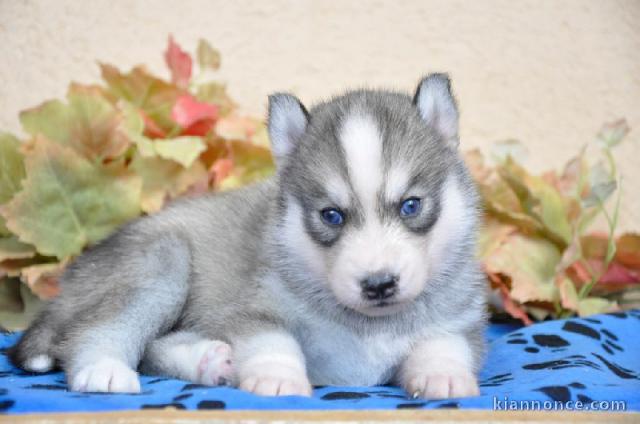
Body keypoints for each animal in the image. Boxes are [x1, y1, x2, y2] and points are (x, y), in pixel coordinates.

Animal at [10, 74, 488, 400]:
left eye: (411, 205)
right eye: (331, 215)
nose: (379, 284)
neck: (369, 324)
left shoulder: (458, 319)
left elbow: (444, 344)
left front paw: (443, 374)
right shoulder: (254, 307)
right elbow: (272, 340)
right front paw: (278, 377)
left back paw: (210, 361)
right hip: (161, 263)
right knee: (99, 331)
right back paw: (104, 369)